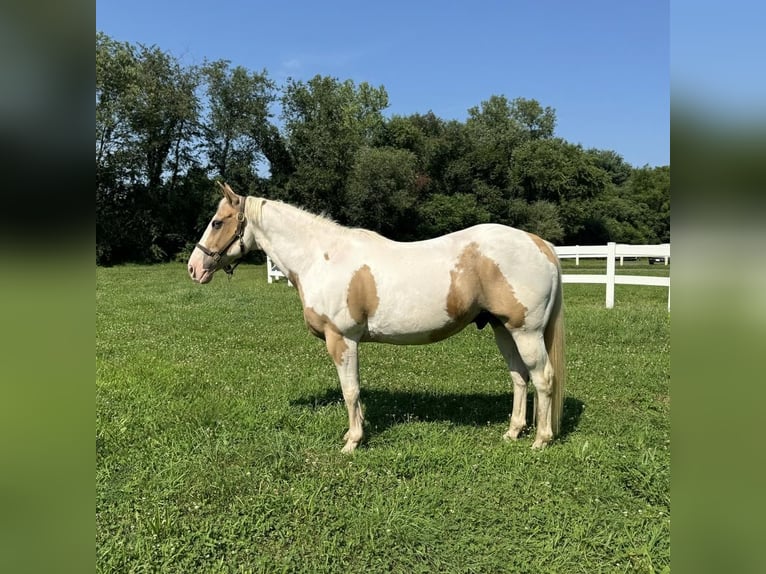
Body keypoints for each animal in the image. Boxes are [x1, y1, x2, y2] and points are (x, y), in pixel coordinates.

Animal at [189, 184, 568, 454]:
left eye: (217, 222)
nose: (194, 267)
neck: (321, 257)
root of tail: (540, 244)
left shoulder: (342, 339)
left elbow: (351, 390)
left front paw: (353, 441)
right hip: (503, 329)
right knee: (519, 378)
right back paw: (513, 432)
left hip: (526, 331)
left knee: (543, 378)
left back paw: (541, 440)